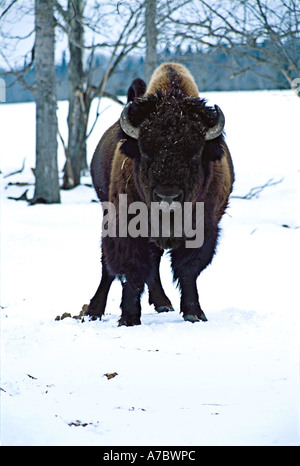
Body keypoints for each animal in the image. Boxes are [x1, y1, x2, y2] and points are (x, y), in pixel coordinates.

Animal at [85, 62, 234, 326]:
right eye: (145, 152)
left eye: (196, 153)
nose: (168, 196)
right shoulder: (127, 227)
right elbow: (132, 271)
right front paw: (129, 318)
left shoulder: (205, 229)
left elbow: (188, 270)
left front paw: (194, 313)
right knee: (109, 268)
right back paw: (94, 310)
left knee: (152, 265)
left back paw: (163, 303)